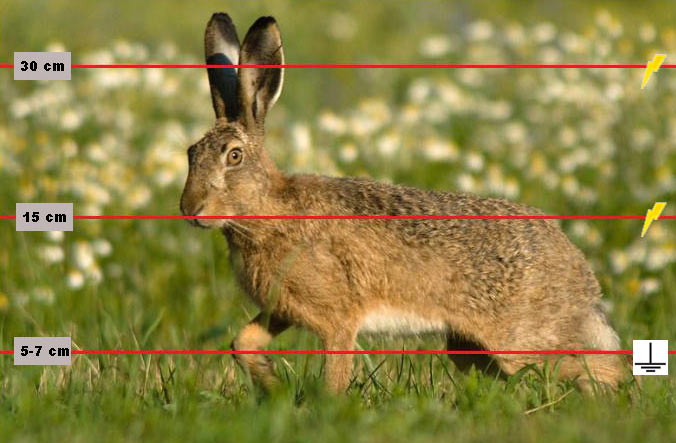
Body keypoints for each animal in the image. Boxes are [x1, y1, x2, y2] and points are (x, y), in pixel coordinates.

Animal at [180, 12, 629, 394]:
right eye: (190, 153)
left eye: (234, 156)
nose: (190, 209)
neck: (266, 209)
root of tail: (578, 269)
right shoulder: (282, 309)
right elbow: (243, 341)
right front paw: (271, 388)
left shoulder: (338, 319)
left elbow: (335, 372)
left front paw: (325, 407)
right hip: (469, 347)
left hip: (518, 339)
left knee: (601, 368)